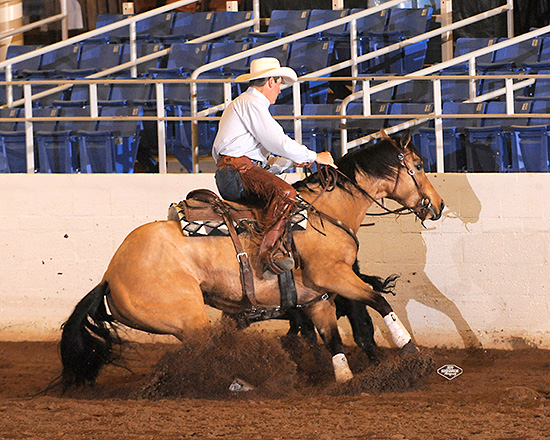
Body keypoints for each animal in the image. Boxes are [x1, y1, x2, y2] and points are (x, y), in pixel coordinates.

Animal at [60, 131, 446, 388]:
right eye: (418, 165)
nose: (438, 205)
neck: (326, 214)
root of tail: (110, 275)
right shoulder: (335, 276)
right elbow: (378, 300)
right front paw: (409, 348)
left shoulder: (318, 299)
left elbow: (333, 340)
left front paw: (345, 378)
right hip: (189, 318)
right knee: (208, 354)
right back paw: (240, 382)